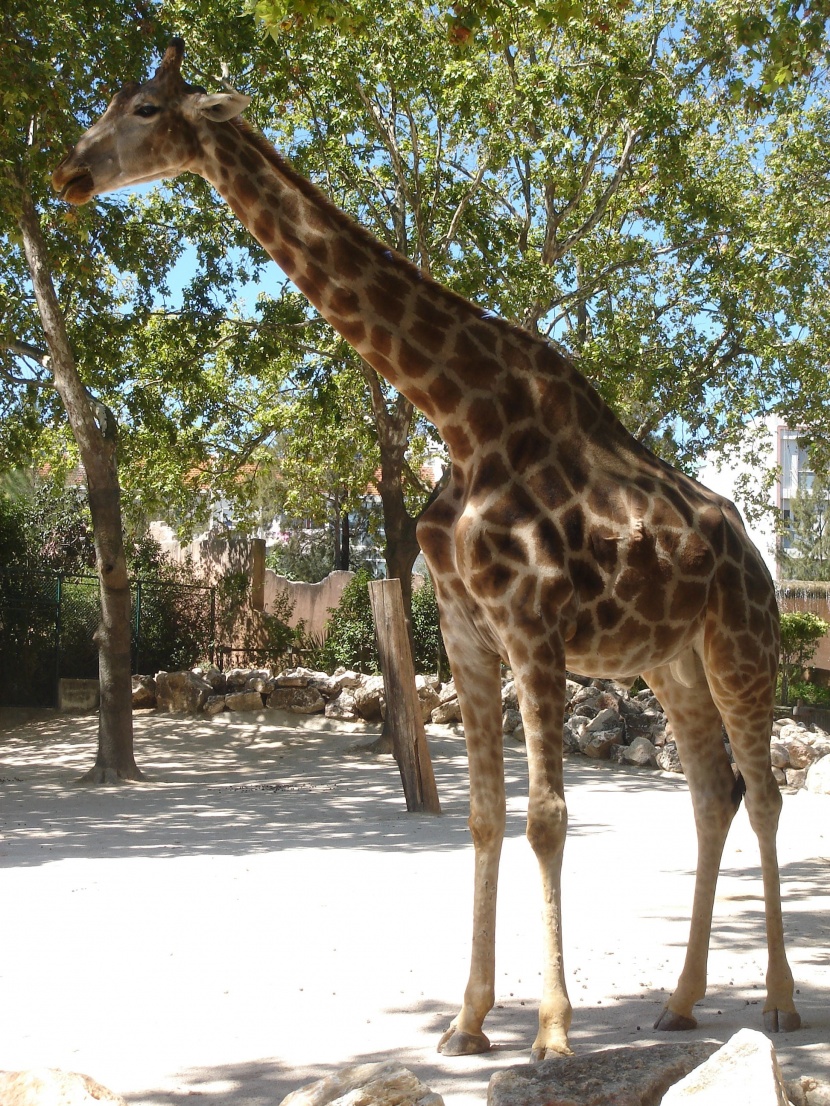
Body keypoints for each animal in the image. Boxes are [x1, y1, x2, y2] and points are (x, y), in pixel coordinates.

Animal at [50, 38, 801, 1057]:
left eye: (148, 109)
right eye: (108, 100)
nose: (67, 173)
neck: (458, 414)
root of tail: (760, 559)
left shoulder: (534, 627)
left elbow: (547, 817)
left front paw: (551, 1035)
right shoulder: (465, 626)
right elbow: (485, 817)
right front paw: (468, 1022)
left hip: (742, 646)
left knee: (762, 794)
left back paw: (779, 1003)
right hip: (671, 662)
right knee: (710, 796)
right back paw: (681, 1002)